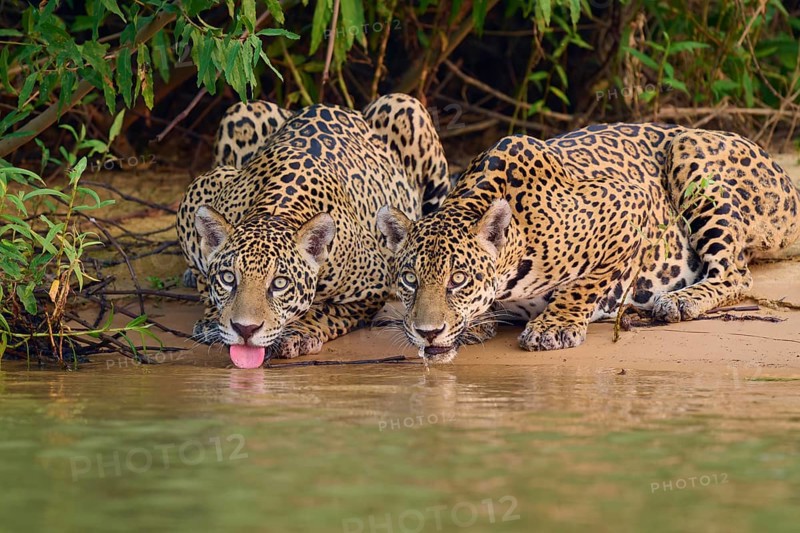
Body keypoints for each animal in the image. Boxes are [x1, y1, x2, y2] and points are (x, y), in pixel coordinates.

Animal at [177, 93, 450, 368]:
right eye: (228, 278)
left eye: (279, 283)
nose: (245, 329)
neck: (276, 208)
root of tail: (331, 104)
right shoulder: (200, 190)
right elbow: (204, 281)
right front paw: (213, 320)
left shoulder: (372, 286)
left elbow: (327, 312)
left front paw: (300, 333)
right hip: (244, 110)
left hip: (408, 111)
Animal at [377, 123, 800, 363]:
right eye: (411, 280)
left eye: (458, 279)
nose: (427, 332)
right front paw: (479, 322)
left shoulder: (629, 204)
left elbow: (587, 283)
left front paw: (554, 325)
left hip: (690, 152)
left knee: (735, 273)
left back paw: (679, 301)